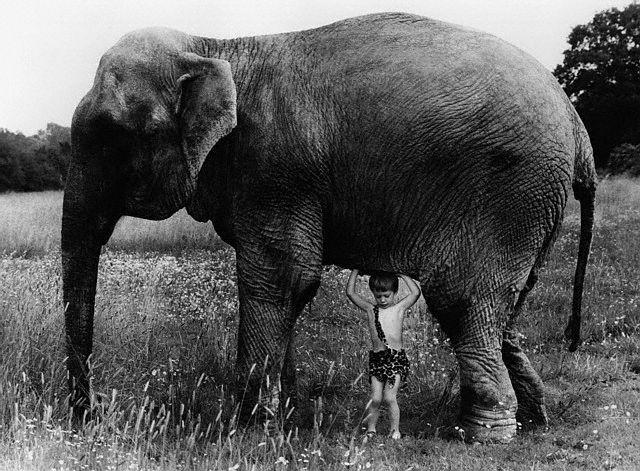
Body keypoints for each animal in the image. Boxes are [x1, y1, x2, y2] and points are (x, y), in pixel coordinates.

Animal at [62, 12, 596, 441]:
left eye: (112, 137)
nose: (88, 420)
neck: (213, 47)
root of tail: (577, 125)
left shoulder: (273, 172)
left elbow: (284, 279)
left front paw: (246, 432)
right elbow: (287, 288)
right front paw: (285, 419)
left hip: (509, 193)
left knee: (462, 301)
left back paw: (486, 435)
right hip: (533, 207)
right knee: (501, 310)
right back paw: (531, 422)